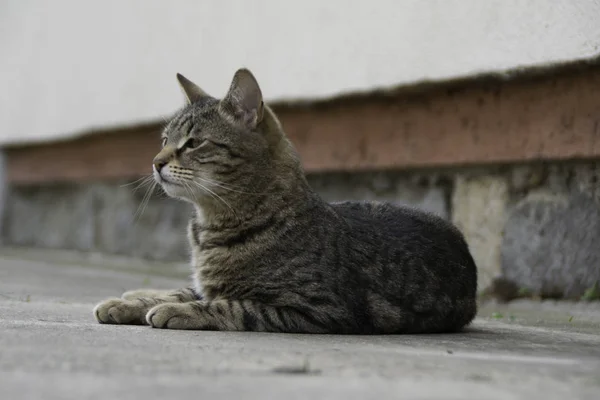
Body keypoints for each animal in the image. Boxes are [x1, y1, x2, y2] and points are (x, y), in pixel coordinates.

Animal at [94, 69, 478, 334]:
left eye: (193, 143)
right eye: (164, 140)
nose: (155, 162)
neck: (210, 225)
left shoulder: (319, 308)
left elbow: (233, 306)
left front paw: (177, 312)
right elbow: (196, 291)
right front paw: (134, 302)